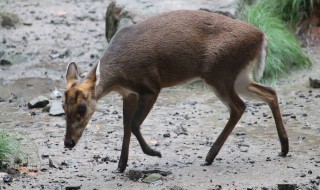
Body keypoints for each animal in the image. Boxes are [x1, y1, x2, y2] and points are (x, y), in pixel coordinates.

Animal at [63, 9, 288, 172]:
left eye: (82, 107)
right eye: (63, 107)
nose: (68, 143)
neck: (119, 76)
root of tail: (262, 36)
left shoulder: (151, 86)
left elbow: (134, 125)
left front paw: (154, 153)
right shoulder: (128, 94)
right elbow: (126, 126)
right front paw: (120, 166)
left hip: (219, 73)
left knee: (239, 106)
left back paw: (209, 156)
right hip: (239, 76)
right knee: (269, 92)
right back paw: (284, 148)